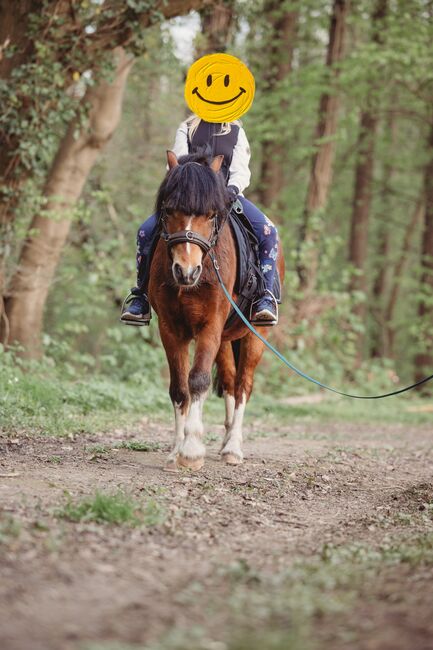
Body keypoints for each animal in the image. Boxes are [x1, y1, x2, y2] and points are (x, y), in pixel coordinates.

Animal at [148, 149, 284, 468]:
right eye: (168, 210)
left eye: (211, 215)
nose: (186, 271)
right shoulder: (170, 328)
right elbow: (179, 387)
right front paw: (176, 450)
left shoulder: (210, 324)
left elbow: (198, 380)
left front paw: (191, 451)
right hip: (224, 340)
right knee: (232, 382)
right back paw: (226, 440)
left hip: (255, 335)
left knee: (244, 384)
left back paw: (233, 447)